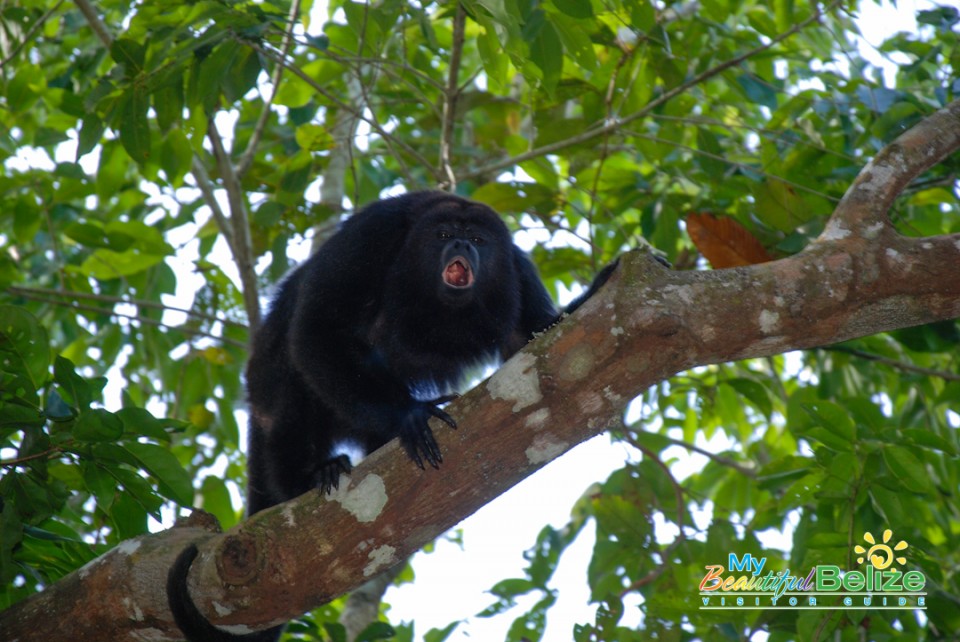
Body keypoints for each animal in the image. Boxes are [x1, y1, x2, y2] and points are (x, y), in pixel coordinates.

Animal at [166, 190, 616, 640]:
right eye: (444, 234)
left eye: (478, 240)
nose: (461, 245)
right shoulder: (371, 237)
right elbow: (317, 328)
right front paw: (409, 415)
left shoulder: (516, 270)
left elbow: (532, 337)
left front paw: (599, 286)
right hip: (272, 395)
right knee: (289, 381)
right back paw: (306, 476)